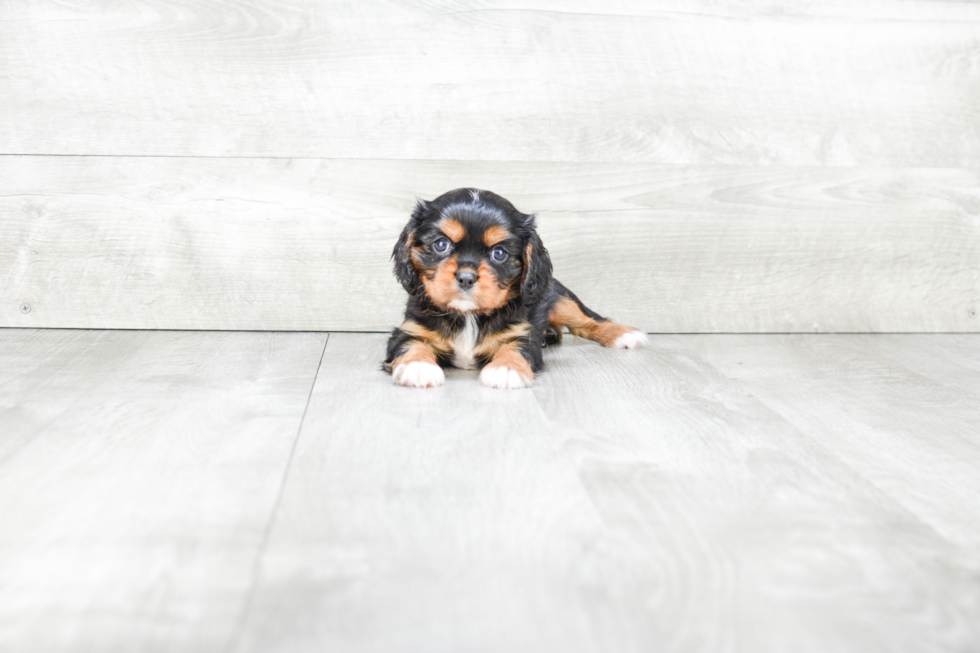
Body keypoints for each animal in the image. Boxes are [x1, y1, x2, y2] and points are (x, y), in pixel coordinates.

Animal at [384, 186, 652, 388]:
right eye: (441, 244)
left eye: (499, 253)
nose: (466, 277)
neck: (469, 315)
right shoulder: (409, 330)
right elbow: (412, 344)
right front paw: (418, 367)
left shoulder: (522, 335)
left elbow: (515, 349)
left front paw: (506, 369)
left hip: (558, 296)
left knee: (588, 322)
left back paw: (623, 334)